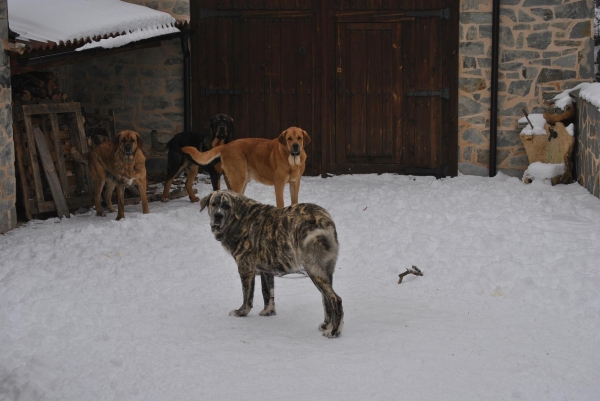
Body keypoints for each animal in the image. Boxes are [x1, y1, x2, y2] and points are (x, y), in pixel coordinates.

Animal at [180, 126, 312, 208]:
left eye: (299, 138)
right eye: (289, 138)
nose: (295, 146)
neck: (292, 162)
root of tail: (226, 146)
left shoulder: (295, 183)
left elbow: (294, 201)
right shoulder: (279, 184)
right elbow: (281, 203)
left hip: (242, 181)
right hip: (239, 179)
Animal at [200, 191, 344, 338]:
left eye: (227, 206)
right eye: (214, 204)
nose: (218, 216)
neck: (239, 219)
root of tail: (323, 219)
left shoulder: (245, 270)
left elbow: (247, 297)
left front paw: (241, 312)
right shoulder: (266, 270)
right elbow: (267, 293)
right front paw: (268, 312)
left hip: (313, 269)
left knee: (335, 299)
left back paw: (334, 331)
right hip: (325, 271)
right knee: (326, 300)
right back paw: (327, 325)